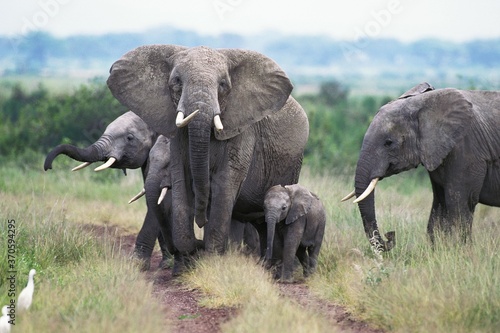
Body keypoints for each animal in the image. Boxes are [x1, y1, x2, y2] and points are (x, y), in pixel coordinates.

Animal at [107, 44, 308, 256]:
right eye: (177, 81)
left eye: (222, 85)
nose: (201, 222)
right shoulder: (178, 138)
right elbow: (182, 182)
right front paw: (195, 249)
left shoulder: (242, 131)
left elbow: (224, 186)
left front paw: (211, 256)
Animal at [342, 82, 500, 249]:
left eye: (388, 143)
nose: (390, 235)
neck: (423, 104)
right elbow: (439, 205)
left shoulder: (466, 150)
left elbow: (458, 205)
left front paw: (461, 251)